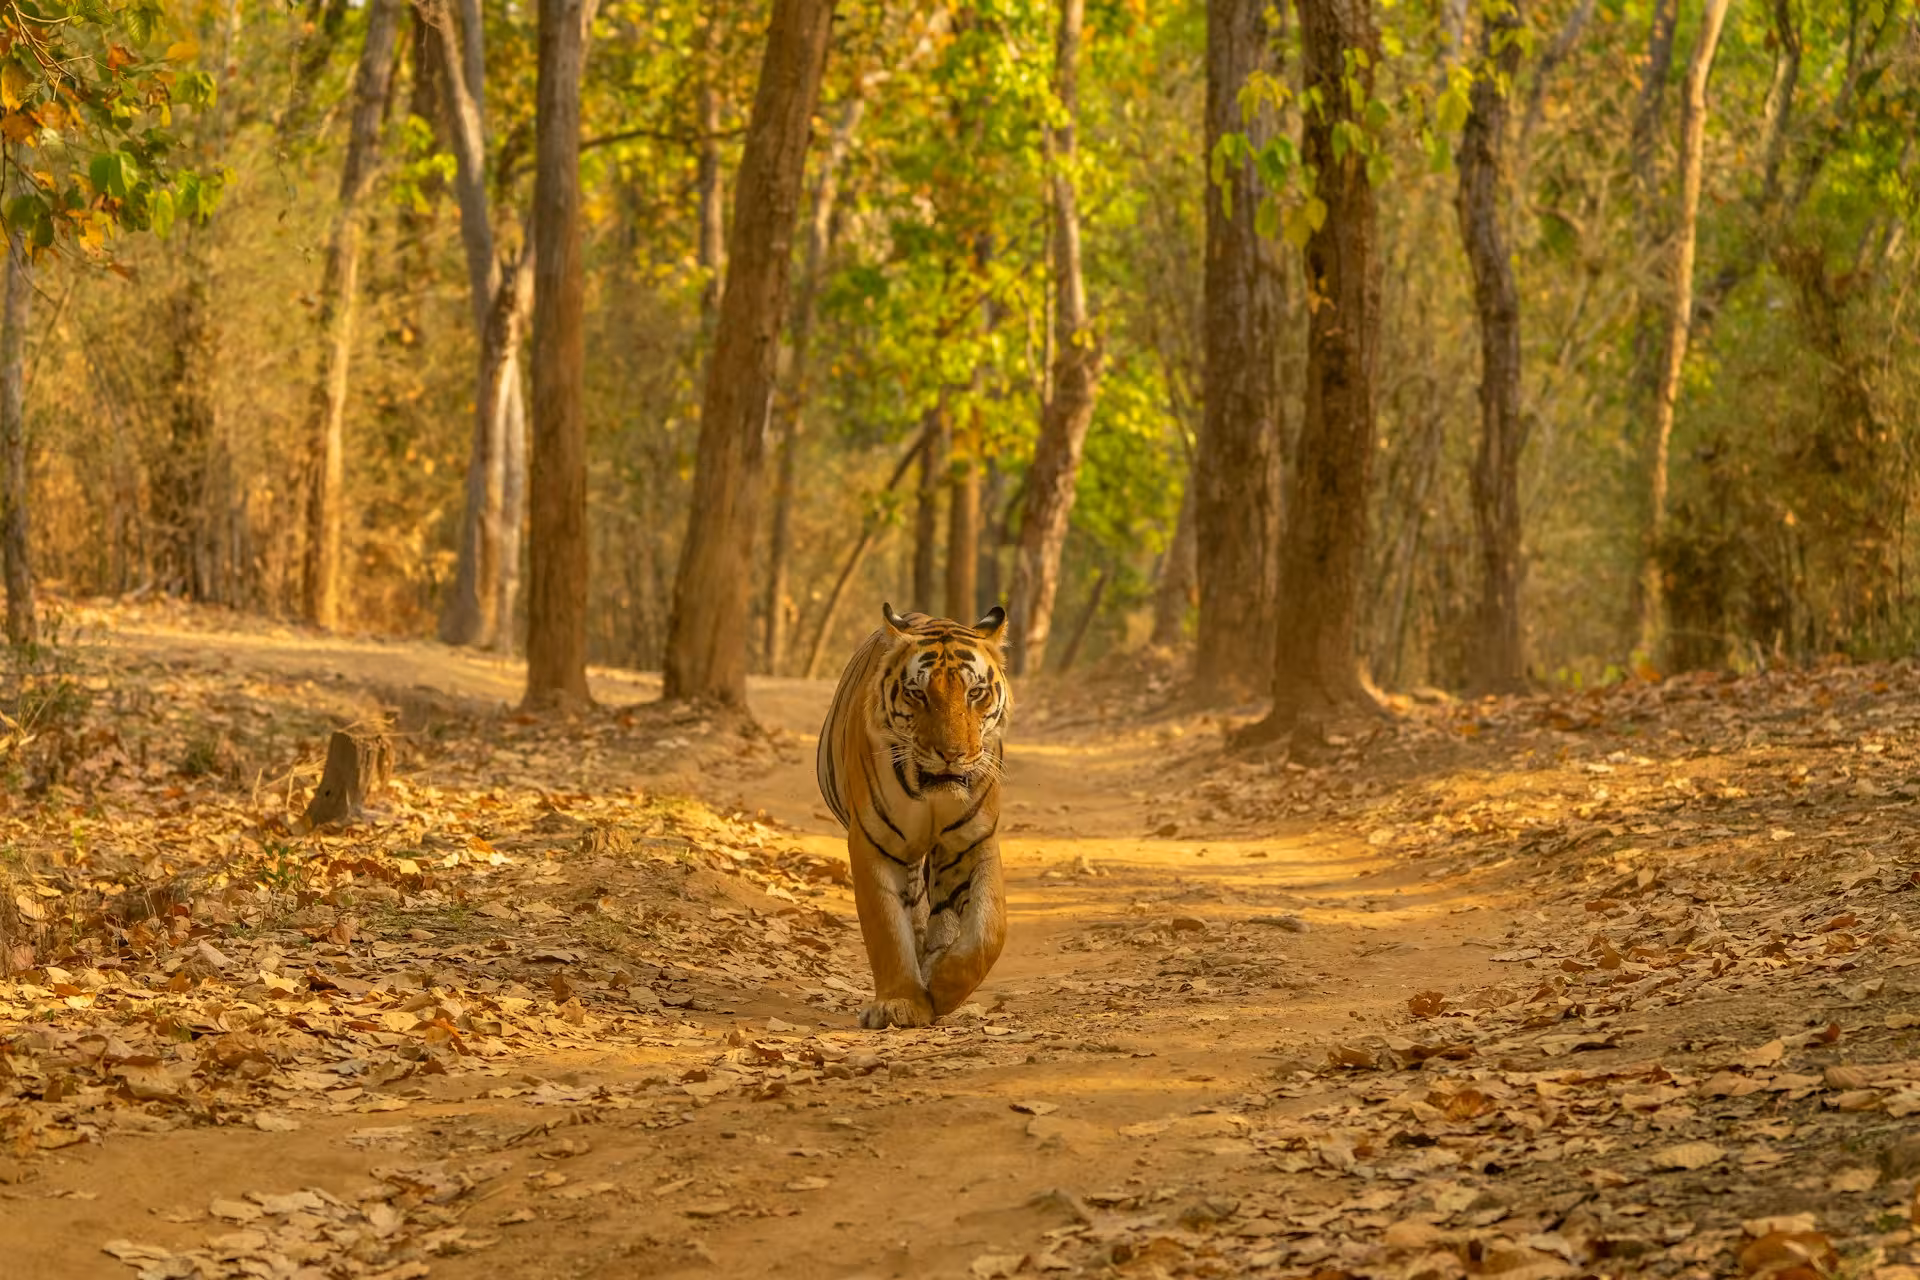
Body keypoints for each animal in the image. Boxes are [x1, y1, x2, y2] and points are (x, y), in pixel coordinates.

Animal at [816, 602, 1012, 1029]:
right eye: (917, 694)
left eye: (975, 692)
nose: (952, 754)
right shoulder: (875, 843)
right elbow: (887, 929)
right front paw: (901, 1003)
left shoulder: (972, 841)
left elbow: (988, 932)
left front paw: (942, 987)